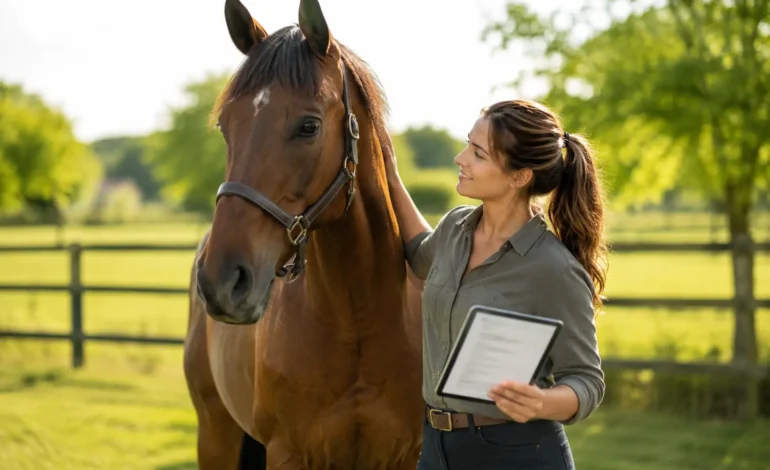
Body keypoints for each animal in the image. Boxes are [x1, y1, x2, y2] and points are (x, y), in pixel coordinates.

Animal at [183, 0, 425, 468]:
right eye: (225, 125)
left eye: (309, 126)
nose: (221, 281)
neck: (358, 319)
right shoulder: (288, 453)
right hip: (214, 433)